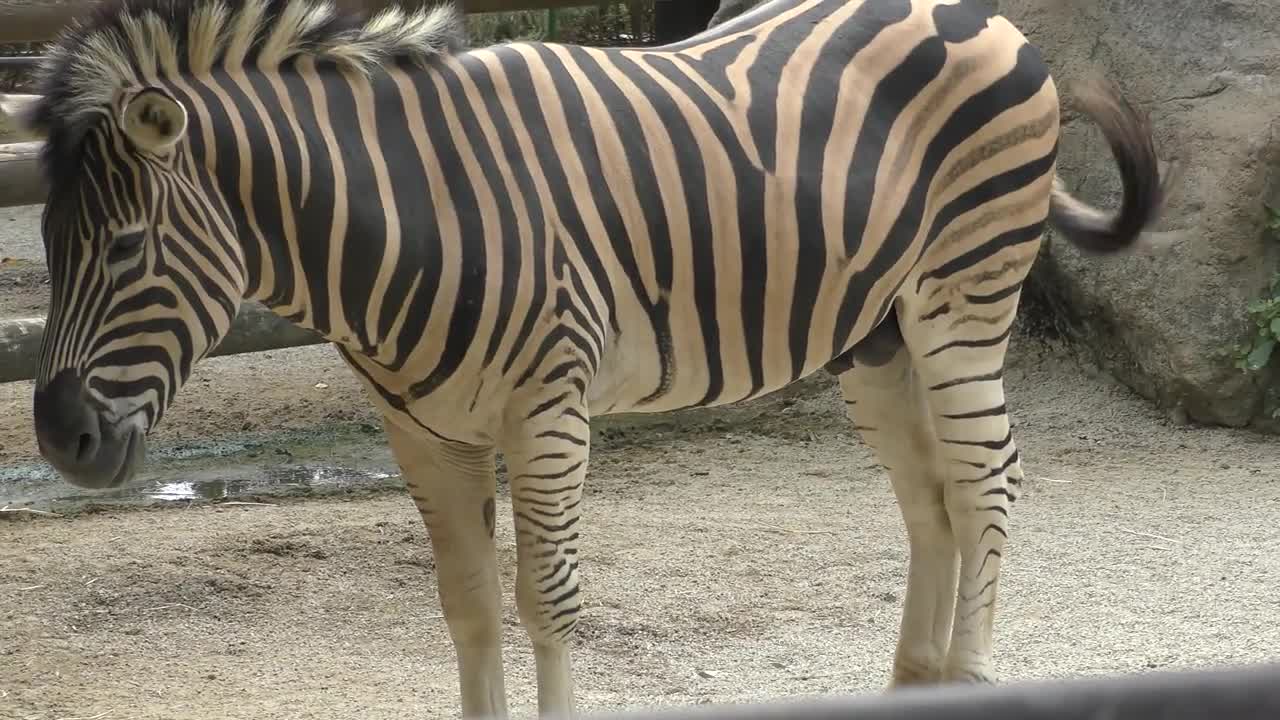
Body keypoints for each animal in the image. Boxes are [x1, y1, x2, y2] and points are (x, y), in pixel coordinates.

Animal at [20, 0, 1172, 712]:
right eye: (49, 246)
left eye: (125, 248)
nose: (61, 439)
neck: (407, 212)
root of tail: (982, 16)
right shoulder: (422, 430)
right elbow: (468, 609)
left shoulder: (547, 411)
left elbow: (548, 602)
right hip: (875, 334)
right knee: (929, 494)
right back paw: (912, 686)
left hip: (962, 295)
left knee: (984, 480)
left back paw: (966, 676)